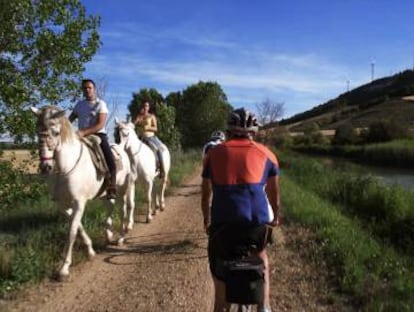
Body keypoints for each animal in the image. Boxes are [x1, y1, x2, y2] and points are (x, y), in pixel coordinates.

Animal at [30, 106, 134, 280]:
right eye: (37, 131)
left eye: (56, 132)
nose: (46, 167)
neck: (65, 167)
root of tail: (121, 148)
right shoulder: (63, 205)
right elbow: (78, 227)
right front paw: (90, 250)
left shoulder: (79, 202)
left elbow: (71, 232)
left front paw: (64, 268)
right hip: (107, 194)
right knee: (110, 207)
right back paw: (108, 235)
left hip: (123, 188)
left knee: (123, 209)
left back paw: (121, 237)